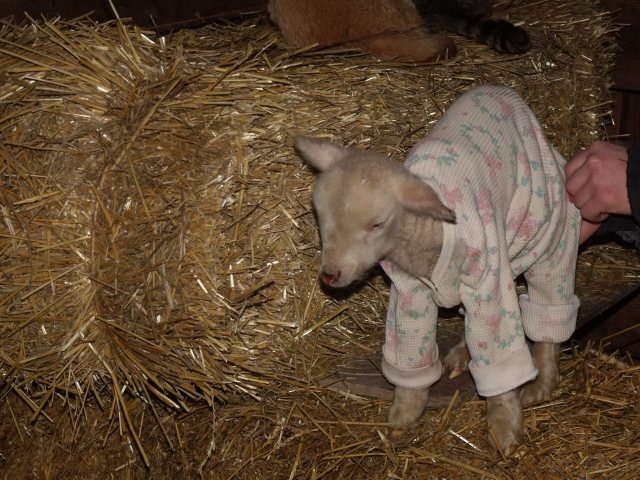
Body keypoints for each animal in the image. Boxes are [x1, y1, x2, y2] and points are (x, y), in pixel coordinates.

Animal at [295, 85, 580, 455]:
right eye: (319, 215)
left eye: (377, 223)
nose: (330, 275)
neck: (423, 236)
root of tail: (503, 92)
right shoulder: (408, 290)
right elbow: (411, 347)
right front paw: (404, 413)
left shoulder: (486, 272)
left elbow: (498, 339)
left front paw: (504, 427)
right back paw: (462, 354)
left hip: (548, 228)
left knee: (548, 305)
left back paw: (543, 380)